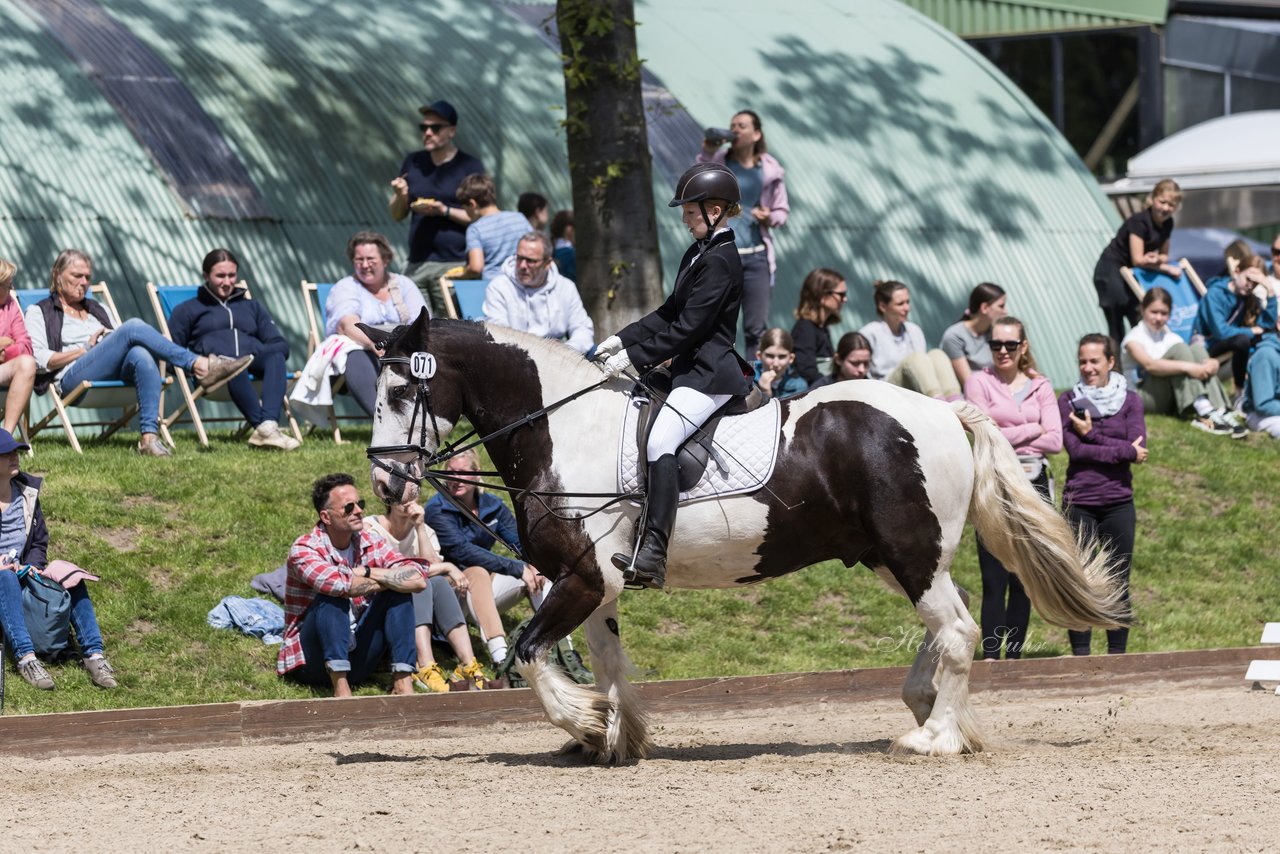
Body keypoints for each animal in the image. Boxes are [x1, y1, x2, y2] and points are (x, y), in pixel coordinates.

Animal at [360, 312, 1121, 763]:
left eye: (399, 394)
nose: (387, 486)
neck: (563, 429)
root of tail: (942, 409)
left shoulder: (583, 577)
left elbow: (528, 655)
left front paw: (584, 725)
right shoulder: (596, 584)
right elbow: (604, 660)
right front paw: (618, 736)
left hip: (910, 553)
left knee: (959, 631)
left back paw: (931, 736)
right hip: (896, 556)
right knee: (950, 622)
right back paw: (936, 709)